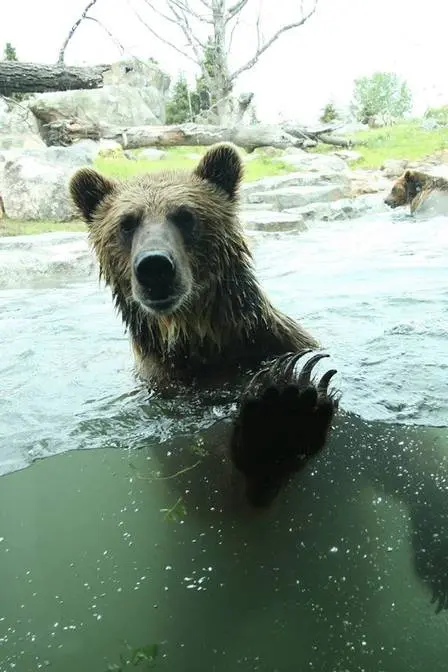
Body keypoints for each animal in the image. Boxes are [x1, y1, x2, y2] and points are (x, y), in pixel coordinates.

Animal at [68, 143, 338, 510]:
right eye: (126, 223)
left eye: (184, 215)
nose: (154, 267)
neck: (198, 338)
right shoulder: (163, 391)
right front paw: (276, 416)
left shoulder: (277, 343)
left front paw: (287, 408)